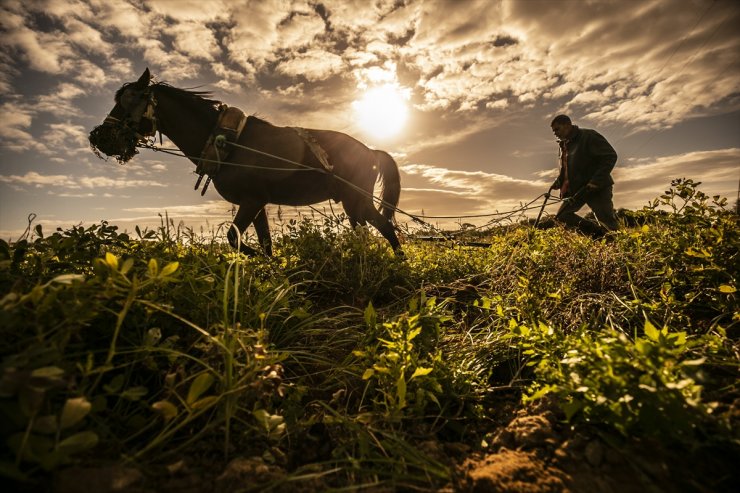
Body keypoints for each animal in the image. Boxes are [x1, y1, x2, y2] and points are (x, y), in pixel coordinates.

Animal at [89, 67, 402, 256]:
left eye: (128, 99)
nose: (98, 137)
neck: (224, 141)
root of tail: (371, 150)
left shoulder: (251, 201)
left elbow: (234, 239)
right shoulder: (257, 203)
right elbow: (265, 245)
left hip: (358, 199)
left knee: (386, 228)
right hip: (351, 203)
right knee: (364, 232)